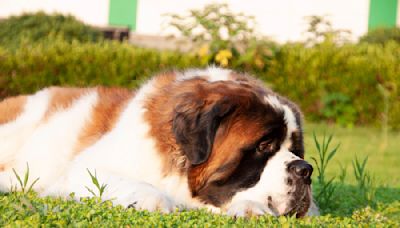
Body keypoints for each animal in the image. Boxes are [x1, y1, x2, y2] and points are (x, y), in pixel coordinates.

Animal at [0, 66, 318, 217]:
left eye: (295, 150)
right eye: (265, 146)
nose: (305, 170)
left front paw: (250, 208)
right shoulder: (82, 170)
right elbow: (134, 184)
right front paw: (155, 200)